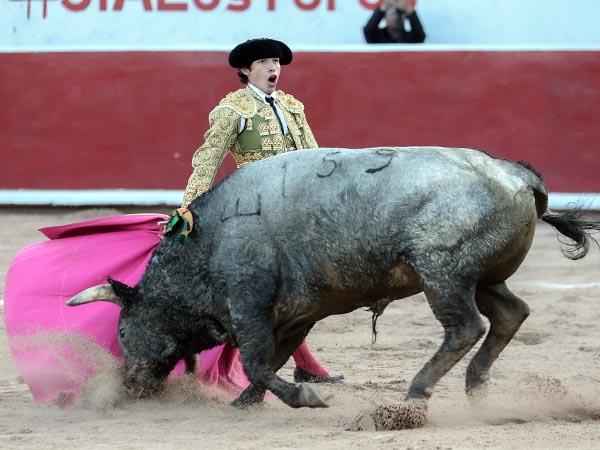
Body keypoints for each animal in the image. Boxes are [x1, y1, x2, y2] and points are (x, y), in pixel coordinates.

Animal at [67, 148, 600, 418]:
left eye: (122, 329)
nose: (131, 386)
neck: (205, 245)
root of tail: (515, 175)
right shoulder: (294, 313)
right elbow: (272, 359)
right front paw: (245, 402)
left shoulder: (249, 301)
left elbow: (257, 360)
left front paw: (303, 396)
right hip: (483, 275)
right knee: (510, 313)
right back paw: (478, 389)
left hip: (442, 272)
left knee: (466, 327)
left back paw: (418, 390)